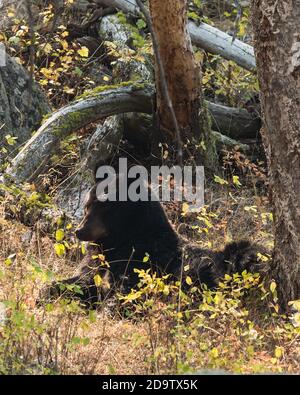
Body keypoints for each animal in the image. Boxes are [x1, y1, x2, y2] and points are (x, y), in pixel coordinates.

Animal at [50, 176, 268, 306]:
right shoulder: (98, 259)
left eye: (103, 207)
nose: (80, 231)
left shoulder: (140, 260)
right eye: (87, 205)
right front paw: (50, 290)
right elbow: (83, 279)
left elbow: (125, 291)